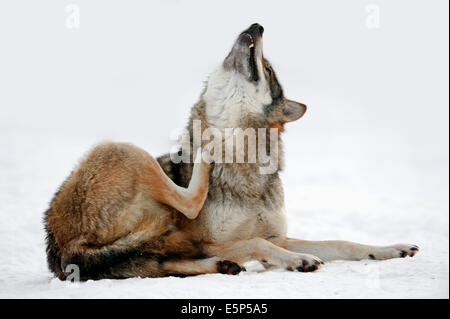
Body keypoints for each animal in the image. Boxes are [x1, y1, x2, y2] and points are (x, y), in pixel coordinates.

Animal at [44, 23, 416, 282]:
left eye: (268, 70)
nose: (257, 25)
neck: (244, 167)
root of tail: (61, 249)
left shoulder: (278, 235)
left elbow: (343, 243)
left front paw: (391, 249)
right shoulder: (213, 241)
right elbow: (259, 244)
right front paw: (299, 261)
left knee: (168, 262)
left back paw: (224, 266)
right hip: (122, 148)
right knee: (187, 204)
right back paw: (207, 157)